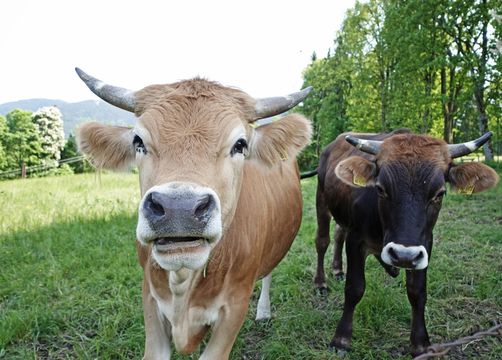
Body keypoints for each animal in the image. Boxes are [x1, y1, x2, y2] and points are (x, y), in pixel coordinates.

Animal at [75, 68, 310, 360]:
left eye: (240, 145)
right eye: (138, 141)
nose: (180, 208)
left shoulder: (235, 305)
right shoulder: (150, 298)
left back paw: (264, 311)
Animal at [314, 129, 498, 354]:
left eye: (439, 193)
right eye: (381, 189)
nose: (403, 255)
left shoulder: (424, 245)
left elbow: (417, 291)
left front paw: (420, 343)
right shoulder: (356, 239)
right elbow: (355, 288)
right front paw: (341, 339)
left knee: (339, 233)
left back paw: (338, 270)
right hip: (321, 199)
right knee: (322, 241)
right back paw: (320, 282)